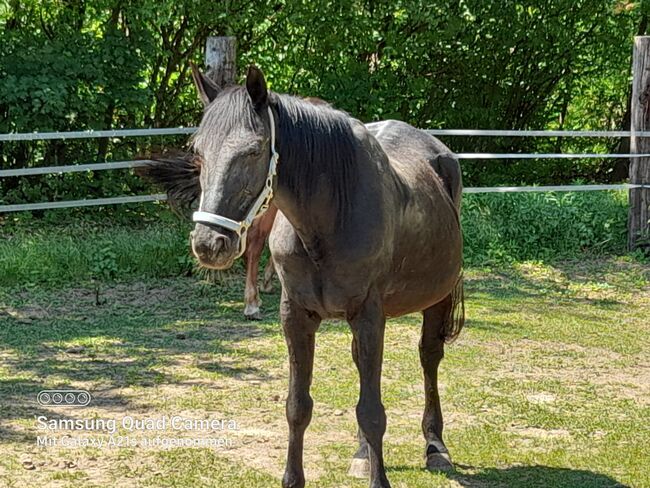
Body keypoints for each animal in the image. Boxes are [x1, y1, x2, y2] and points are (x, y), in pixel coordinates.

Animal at [149, 66, 464, 488]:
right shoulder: (296, 316)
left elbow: (372, 411)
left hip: (438, 297)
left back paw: (435, 446)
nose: (209, 243)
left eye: (253, 151)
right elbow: (298, 406)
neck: (326, 220)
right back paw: (362, 454)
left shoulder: (369, 316)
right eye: (198, 155)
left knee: (429, 357)